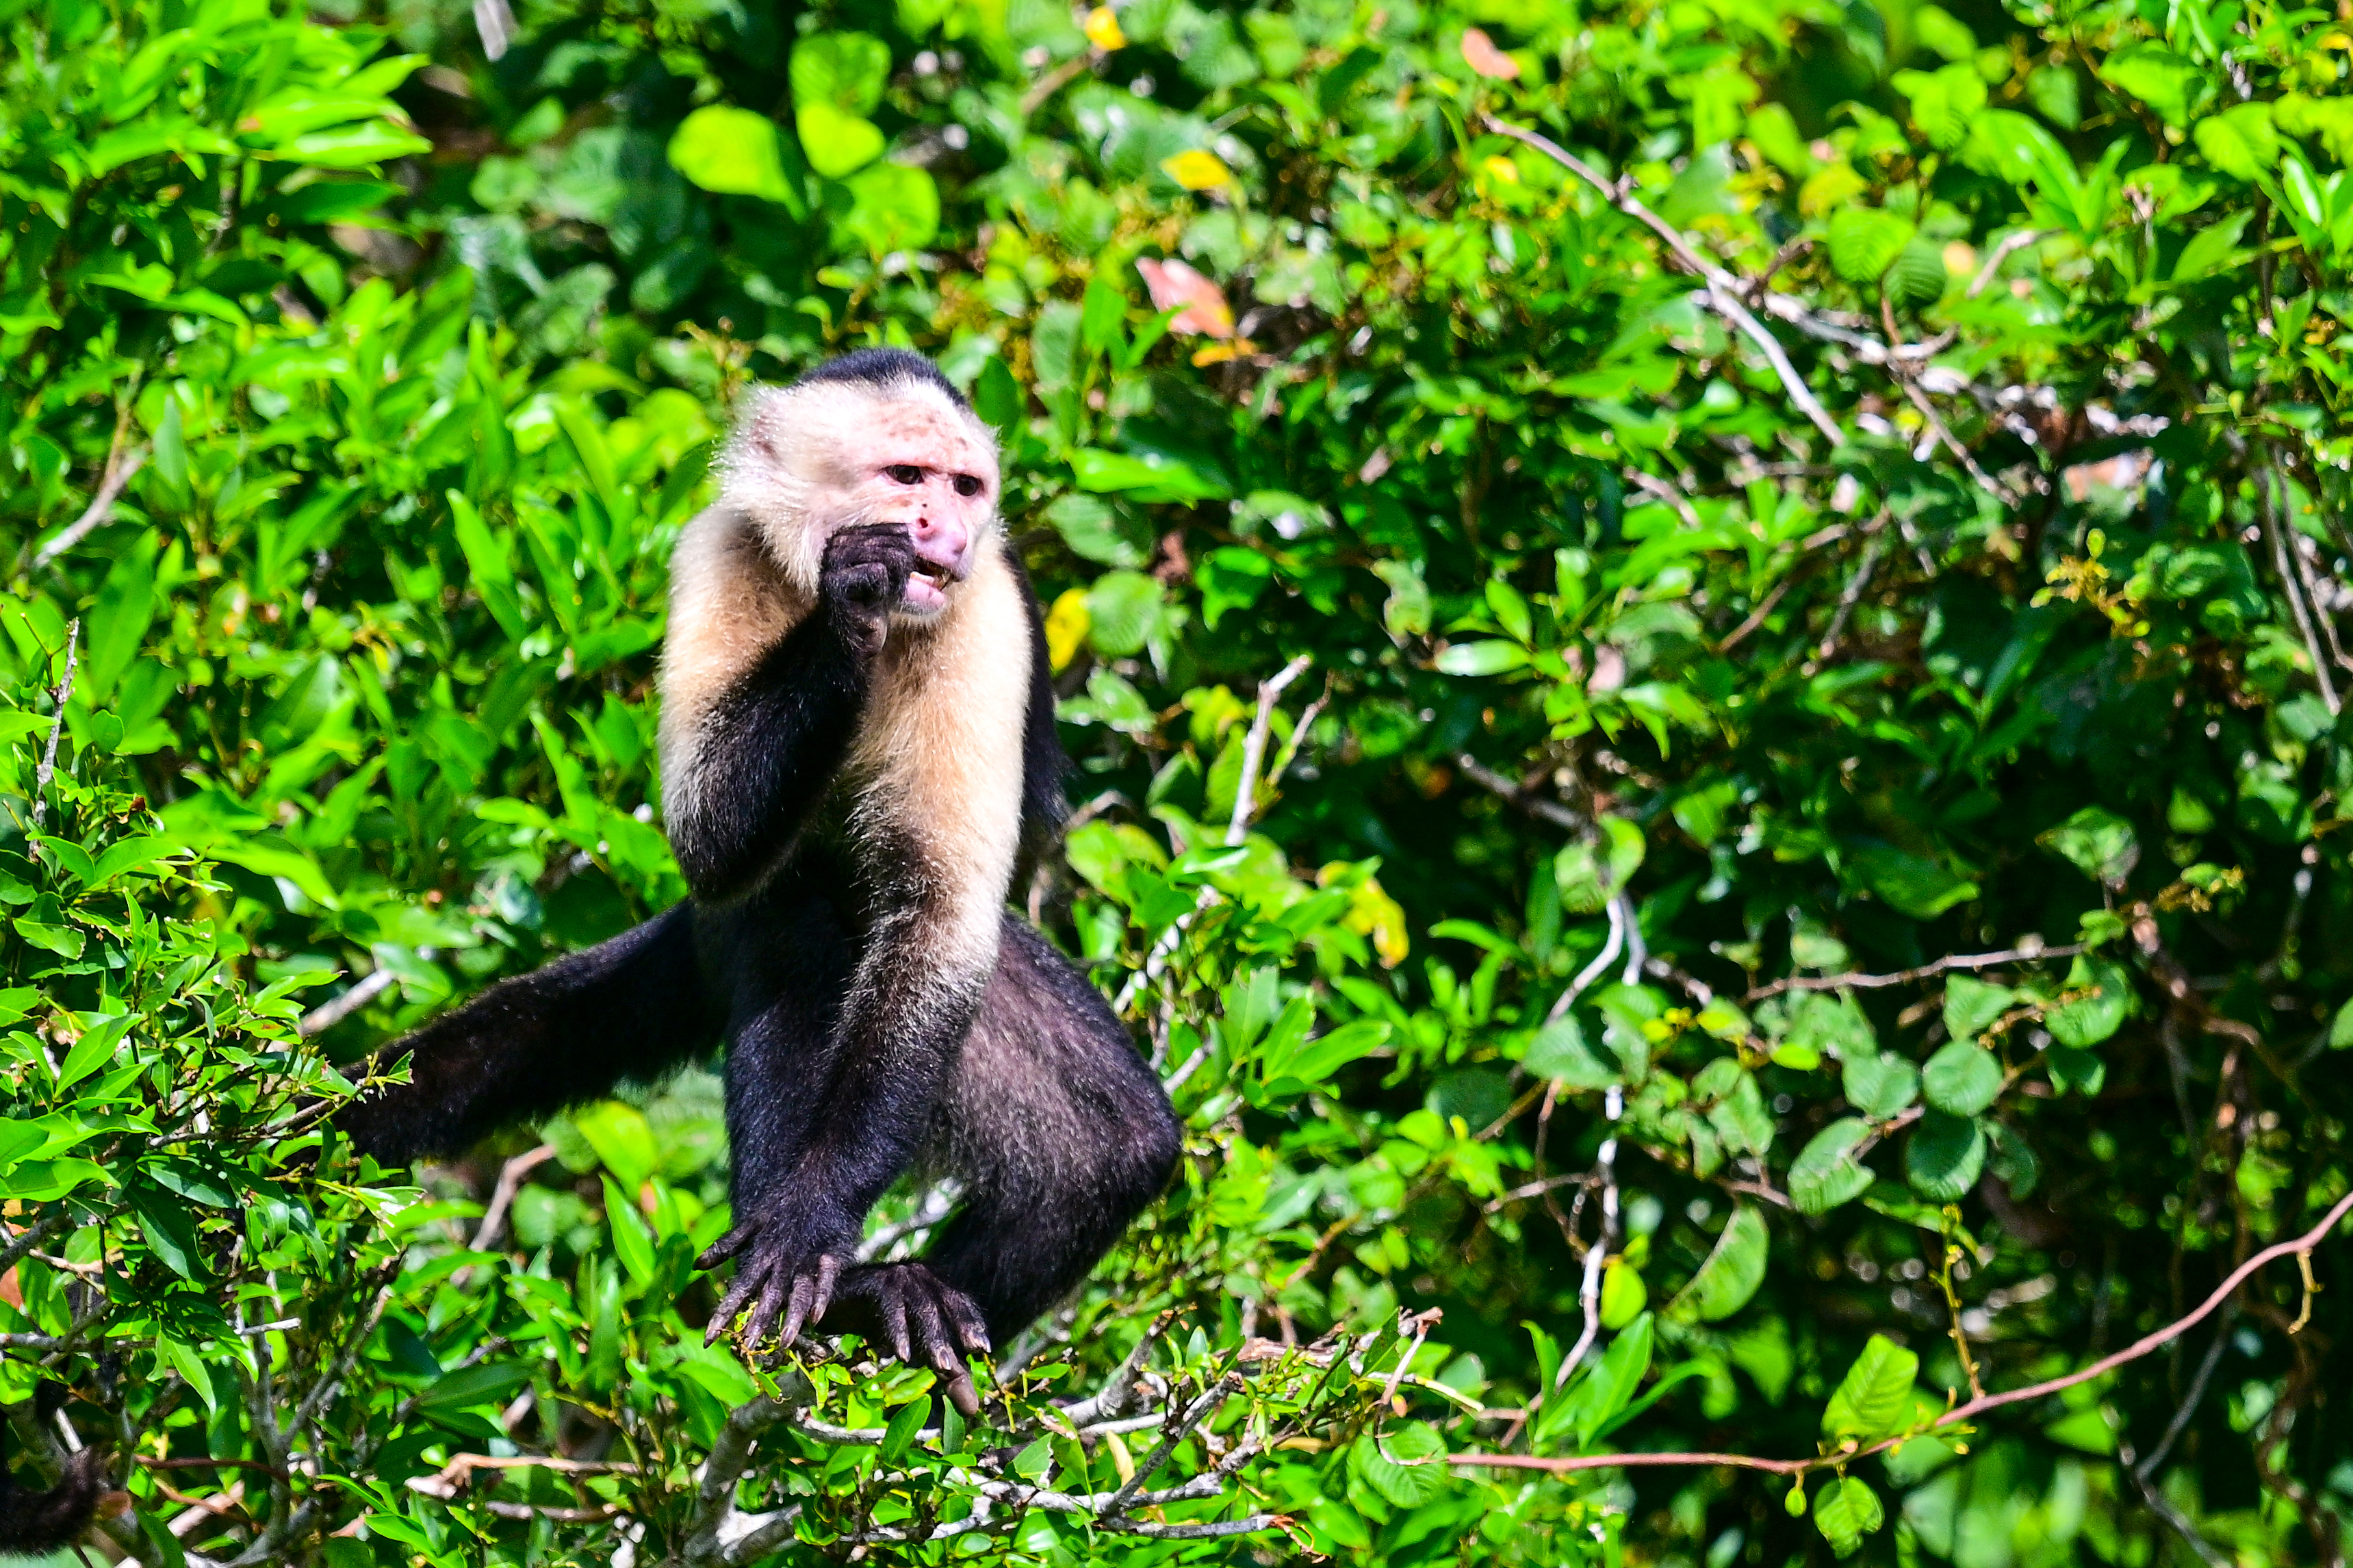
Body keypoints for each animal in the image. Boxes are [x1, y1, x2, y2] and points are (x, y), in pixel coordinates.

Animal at [336, 349, 1182, 1414]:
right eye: (907, 476)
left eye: (965, 487)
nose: (941, 529)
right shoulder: (716, 548)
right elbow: (710, 837)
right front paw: (848, 607)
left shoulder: (981, 610)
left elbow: (940, 916)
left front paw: (813, 1217)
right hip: (720, 932)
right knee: (785, 917)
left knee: (1111, 1144)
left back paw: (876, 1288)